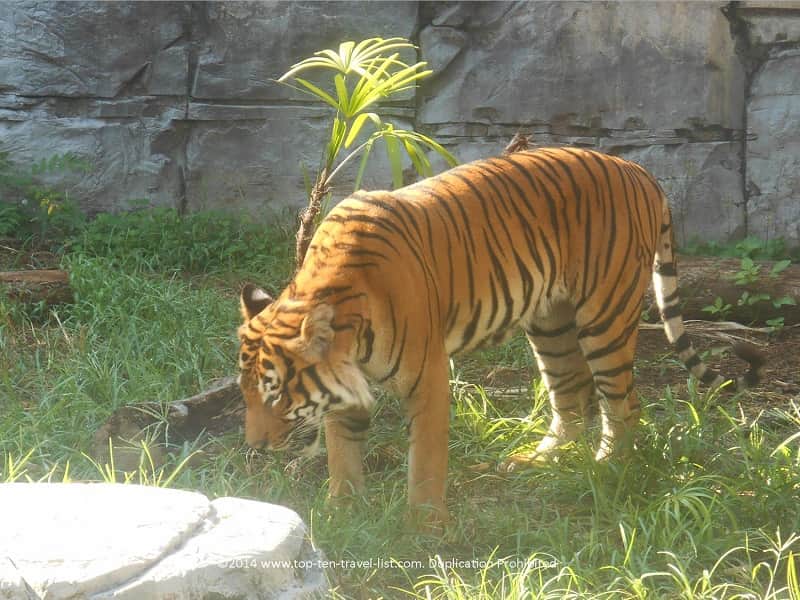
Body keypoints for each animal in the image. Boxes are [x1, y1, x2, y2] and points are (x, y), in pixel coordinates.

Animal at [237, 146, 764, 526]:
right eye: (246, 394)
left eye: (276, 392)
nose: (254, 448)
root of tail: (638, 169)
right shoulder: (346, 391)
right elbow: (342, 455)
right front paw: (340, 515)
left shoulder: (429, 379)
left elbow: (425, 461)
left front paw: (425, 529)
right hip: (551, 323)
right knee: (573, 398)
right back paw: (538, 461)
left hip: (605, 317)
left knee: (623, 404)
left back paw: (606, 468)